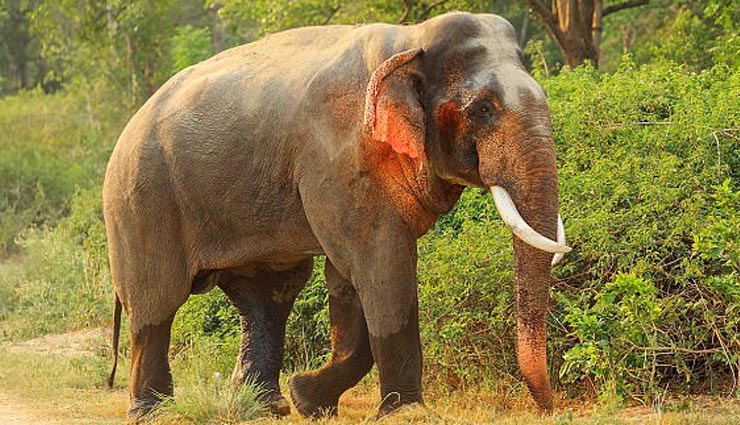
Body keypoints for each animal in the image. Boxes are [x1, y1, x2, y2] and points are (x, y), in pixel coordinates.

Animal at [103, 11, 570, 421]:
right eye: (484, 108)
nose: (548, 409)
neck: (409, 40)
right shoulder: (337, 160)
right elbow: (380, 264)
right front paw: (407, 414)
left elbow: (348, 276)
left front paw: (309, 398)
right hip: (140, 202)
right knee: (156, 303)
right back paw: (154, 412)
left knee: (269, 295)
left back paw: (267, 407)